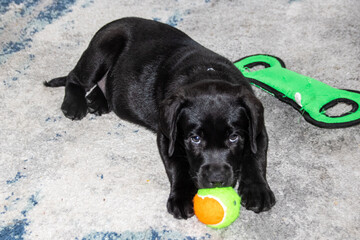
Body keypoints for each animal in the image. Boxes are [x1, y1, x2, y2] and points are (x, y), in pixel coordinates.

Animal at [45, 16, 276, 219]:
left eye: (234, 138)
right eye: (195, 139)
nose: (217, 179)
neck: (207, 73)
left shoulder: (257, 130)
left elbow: (256, 157)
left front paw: (257, 190)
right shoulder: (167, 137)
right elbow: (177, 165)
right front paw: (181, 198)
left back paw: (98, 101)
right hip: (100, 51)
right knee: (75, 77)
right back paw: (74, 105)